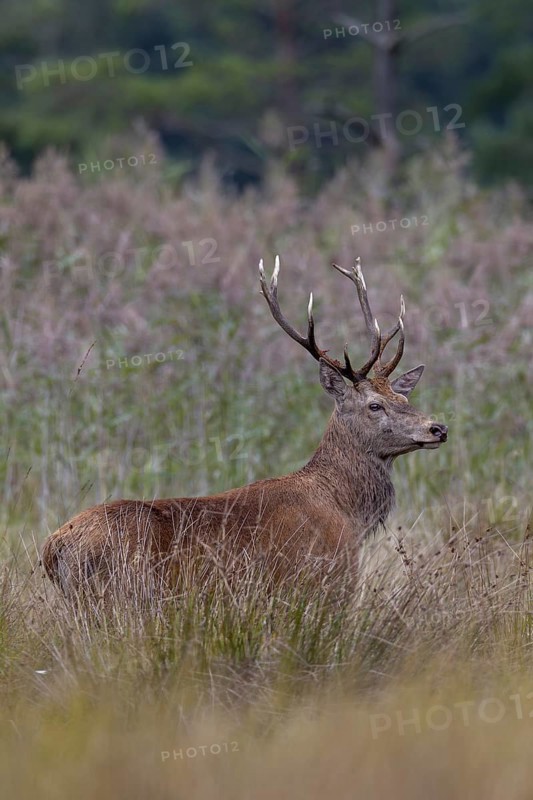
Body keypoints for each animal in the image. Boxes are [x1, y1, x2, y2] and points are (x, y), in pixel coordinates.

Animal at [41, 257, 448, 596]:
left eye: (405, 400)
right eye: (374, 405)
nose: (437, 428)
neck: (348, 513)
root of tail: (52, 548)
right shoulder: (321, 581)